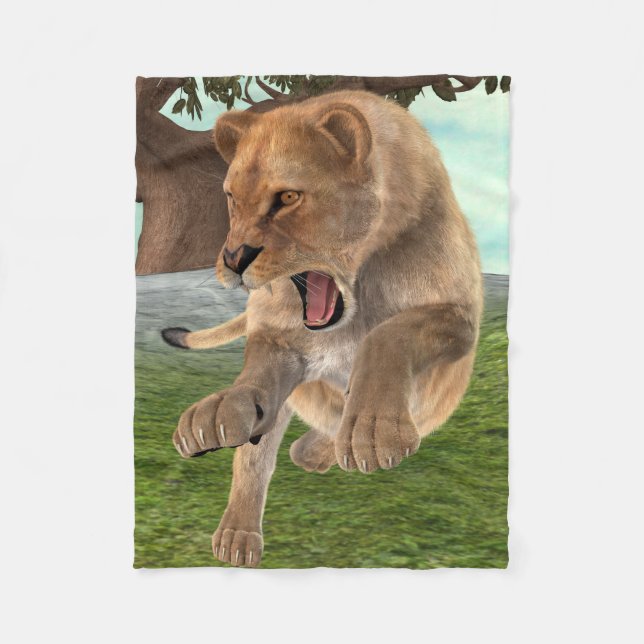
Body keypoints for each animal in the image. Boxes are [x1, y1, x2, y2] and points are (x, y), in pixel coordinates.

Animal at [161, 90, 483, 567]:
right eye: (232, 198)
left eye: (288, 196)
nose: (234, 259)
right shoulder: (278, 336)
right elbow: (255, 393)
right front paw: (220, 410)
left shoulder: (459, 317)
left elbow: (388, 334)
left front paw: (372, 431)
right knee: (258, 454)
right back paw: (238, 535)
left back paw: (316, 449)